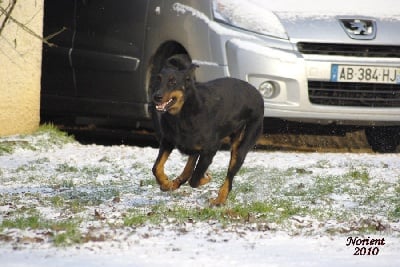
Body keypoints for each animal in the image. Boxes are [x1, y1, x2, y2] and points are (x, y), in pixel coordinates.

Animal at [152, 58, 264, 205]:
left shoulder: (210, 149)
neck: (183, 114)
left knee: (229, 177)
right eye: (158, 79)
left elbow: (195, 179)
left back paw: (219, 200)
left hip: (241, 146)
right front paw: (165, 183)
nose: (156, 96)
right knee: (189, 166)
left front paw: (206, 178)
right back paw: (176, 183)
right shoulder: (168, 140)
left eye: (173, 81)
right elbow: (156, 167)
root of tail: (259, 95)